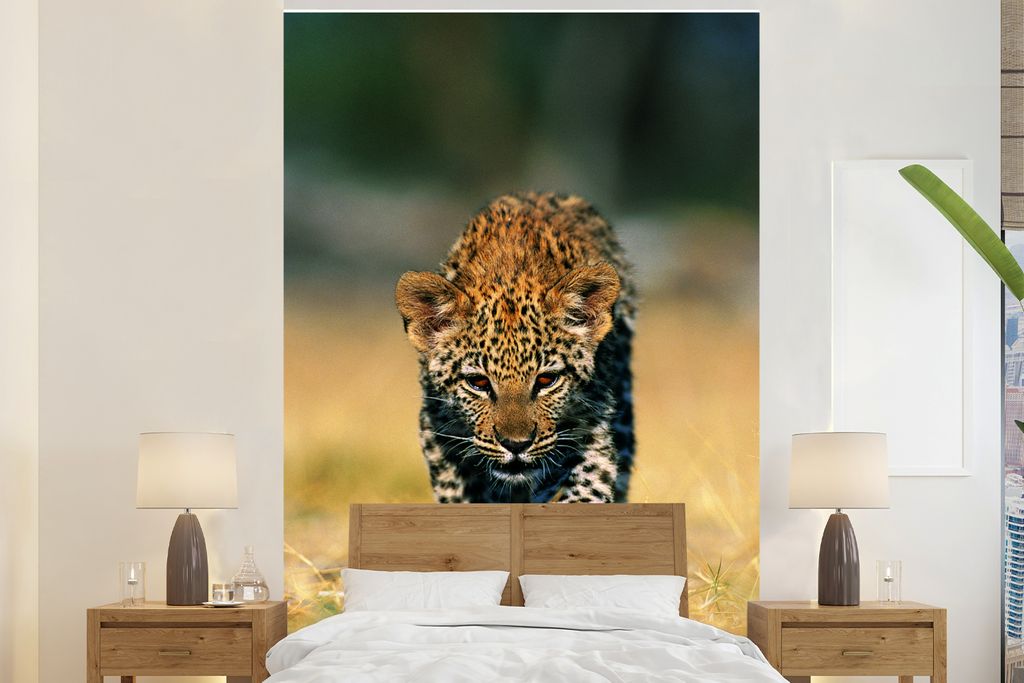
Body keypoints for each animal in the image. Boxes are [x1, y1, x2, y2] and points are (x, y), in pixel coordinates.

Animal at [395, 192, 636, 503]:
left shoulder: (596, 425)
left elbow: (588, 485)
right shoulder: (437, 432)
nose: (516, 445)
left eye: (547, 380)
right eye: (478, 383)